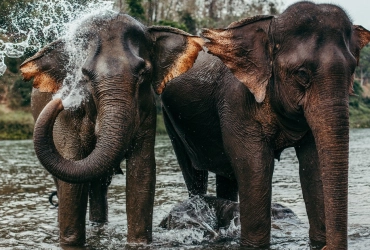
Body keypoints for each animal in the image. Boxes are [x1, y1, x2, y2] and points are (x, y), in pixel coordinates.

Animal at [19, 12, 204, 246]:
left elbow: (142, 171)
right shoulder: (68, 119)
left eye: (143, 72)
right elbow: (71, 176)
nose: (61, 100)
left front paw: (138, 243)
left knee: (99, 185)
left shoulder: (146, 110)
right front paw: (70, 243)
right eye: (84, 75)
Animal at [161, 2, 370, 250]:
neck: (271, 27)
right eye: (302, 74)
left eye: (352, 70)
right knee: (194, 173)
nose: (329, 246)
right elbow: (255, 163)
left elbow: (313, 163)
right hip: (170, 119)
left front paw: (319, 241)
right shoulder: (236, 100)